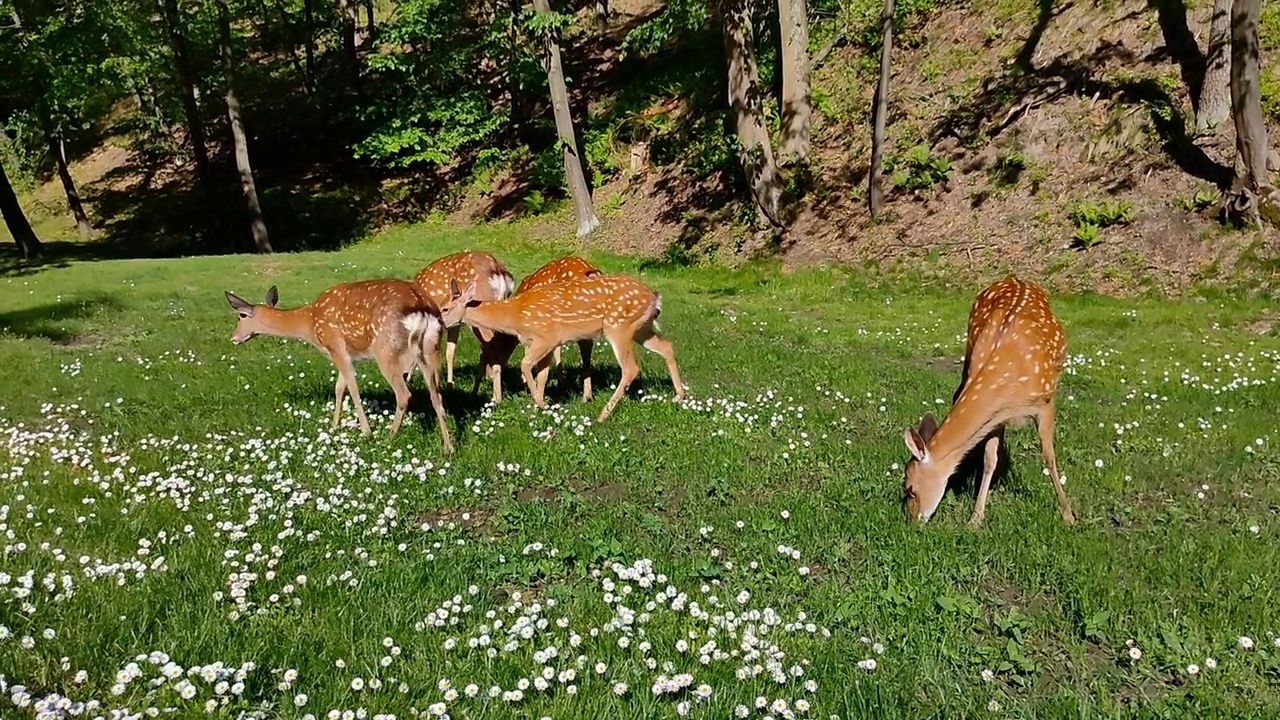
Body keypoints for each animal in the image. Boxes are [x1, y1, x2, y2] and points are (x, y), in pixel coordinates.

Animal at [226, 278, 455, 450]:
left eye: (241, 316)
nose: (234, 338)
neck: (310, 323)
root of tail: (422, 306)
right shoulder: (347, 354)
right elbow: (339, 387)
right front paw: (334, 426)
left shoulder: (336, 346)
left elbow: (351, 388)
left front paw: (366, 432)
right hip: (431, 348)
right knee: (437, 394)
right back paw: (448, 447)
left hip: (387, 350)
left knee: (404, 394)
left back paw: (388, 438)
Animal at [440, 272, 686, 420]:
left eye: (444, 308)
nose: (439, 323)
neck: (515, 316)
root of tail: (654, 297)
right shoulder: (549, 344)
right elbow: (542, 374)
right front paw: (540, 404)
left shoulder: (546, 337)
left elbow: (525, 365)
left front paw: (541, 404)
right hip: (641, 328)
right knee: (667, 346)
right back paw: (679, 395)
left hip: (619, 326)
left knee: (631, 368)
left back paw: (602, 415)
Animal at [901, 274, 1080, 527]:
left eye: (910, 488)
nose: (911, 522)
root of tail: (1014, 277)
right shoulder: (997, 416)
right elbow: (989, 461)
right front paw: (976, 518)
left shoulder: (1045, 401)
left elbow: (1049, 458)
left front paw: (1068, 516)